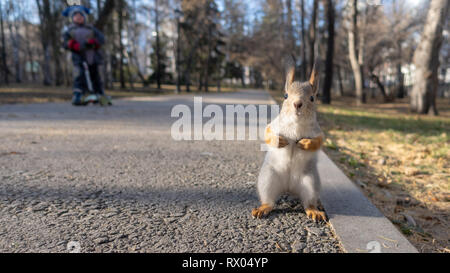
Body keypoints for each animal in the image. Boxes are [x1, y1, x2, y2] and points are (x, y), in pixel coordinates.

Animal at [251, 59, 326, 221]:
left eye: (312, 98)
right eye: (285, 96)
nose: (297, 103)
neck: (296, 124)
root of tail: (289, 188)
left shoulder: (317, 132)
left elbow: (318, 141)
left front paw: (305, 143)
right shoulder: (274, 125)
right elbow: (267, 134)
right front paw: (280, 141)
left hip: (310, 182)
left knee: (308, 202)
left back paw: (314, 210)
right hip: (268, 179)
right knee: (270, 201)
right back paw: (263, 208)